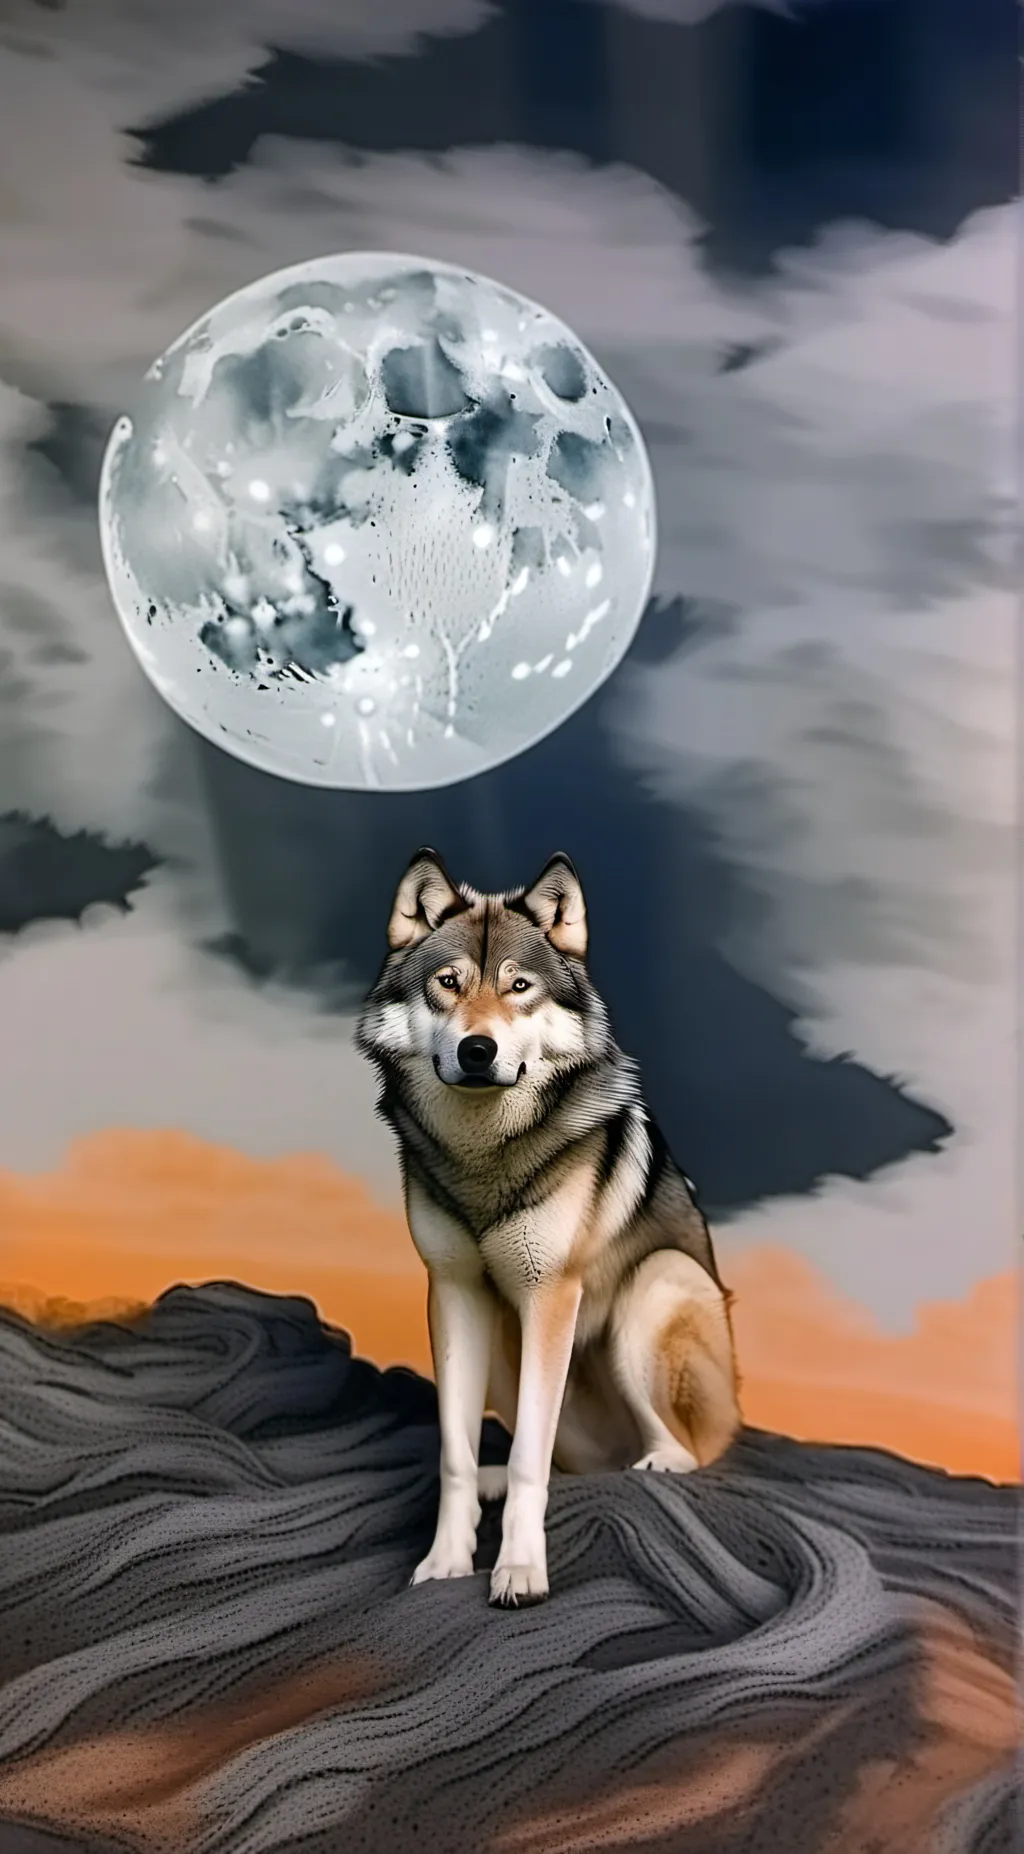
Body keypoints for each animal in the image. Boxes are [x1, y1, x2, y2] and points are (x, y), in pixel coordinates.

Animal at [357, 847, 741, 1607]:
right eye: (448, 983)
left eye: (519, 987)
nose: (477, 1050)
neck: (482, 1155)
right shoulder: (454, 1294)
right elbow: (455, 1454)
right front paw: (446, 1561)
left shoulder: (549, 1296)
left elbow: (531, 1458)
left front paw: (520, 1571)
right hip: (507, 1343)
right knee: (576, 1464)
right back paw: (496, 1481)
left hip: (654, 1289)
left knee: (684, 1453)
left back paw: (659, 1463)